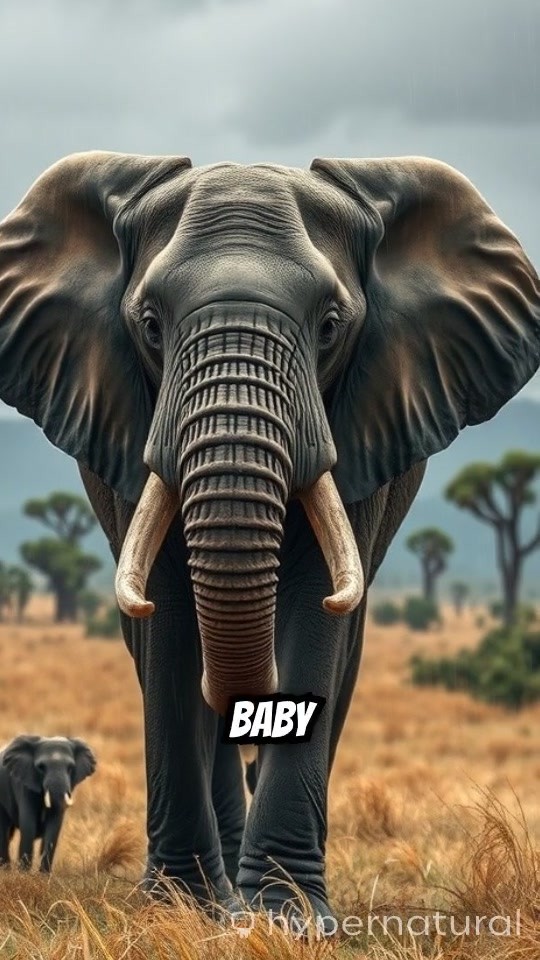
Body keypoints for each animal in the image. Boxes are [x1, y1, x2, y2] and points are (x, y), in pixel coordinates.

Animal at [0, 735, 96, 871]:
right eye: (41, 767)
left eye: (70, 768)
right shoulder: (24, 783)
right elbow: (28, 825)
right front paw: (23, 873)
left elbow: (54, 826)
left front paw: (44, 874)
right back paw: (6, 869)